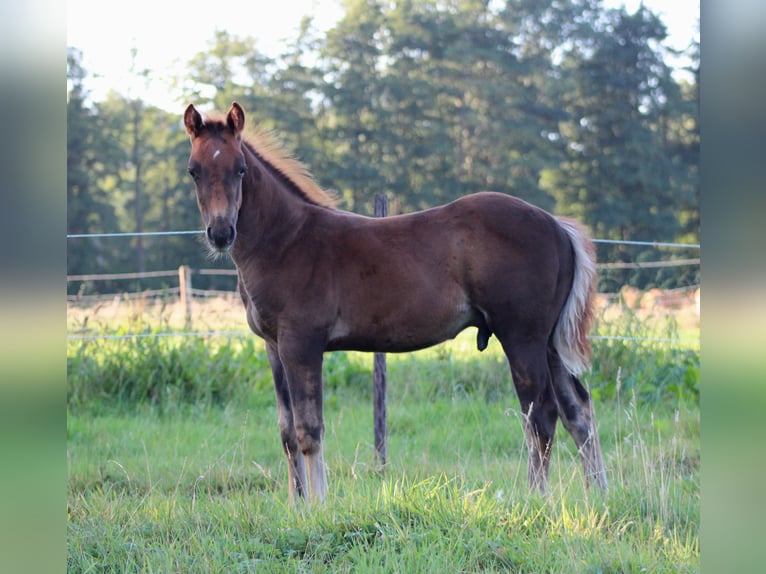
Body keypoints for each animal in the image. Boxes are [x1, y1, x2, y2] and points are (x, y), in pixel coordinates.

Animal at [183, 101, 607, 502]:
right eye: (193, 171)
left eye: (240, 169)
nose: (221, 233)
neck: (286, 239)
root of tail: (557, 225)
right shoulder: (273, 347)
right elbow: (287, 432)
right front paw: (296, 505)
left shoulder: (301, 343)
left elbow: (309, 430)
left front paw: (319, 506)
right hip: (548, 343)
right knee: (578, 410)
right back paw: (598, 494)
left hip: (522, 337)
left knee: (541, 415)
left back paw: (536, 498)